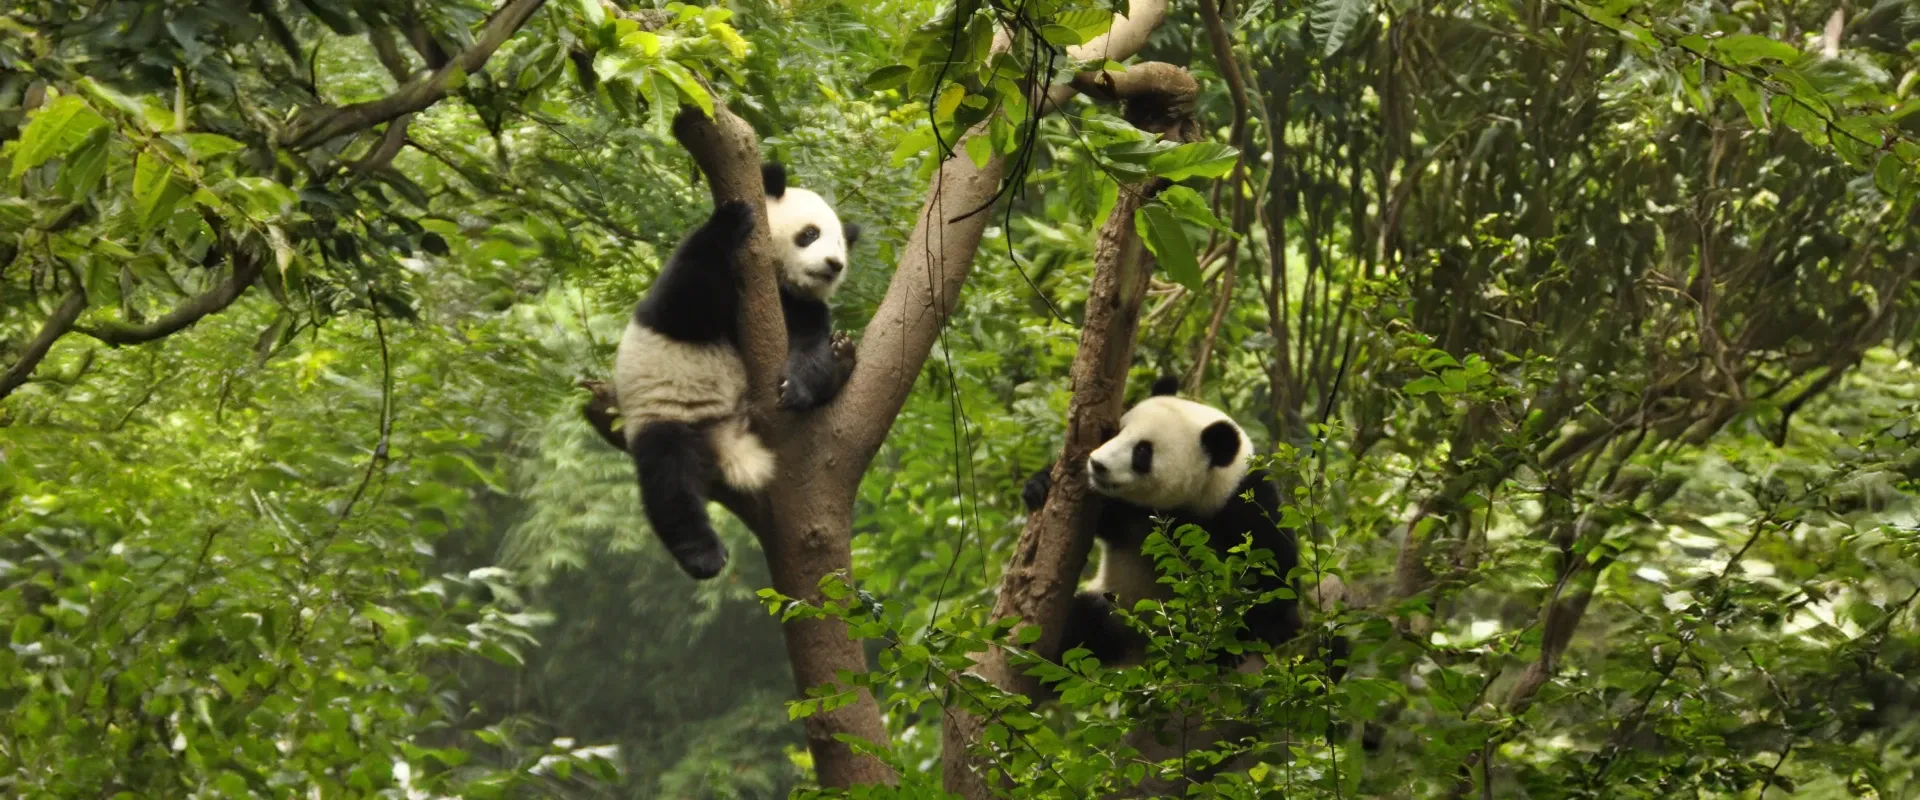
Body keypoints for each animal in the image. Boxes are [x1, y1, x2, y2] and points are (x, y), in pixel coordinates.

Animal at [611, 160, 859, 580]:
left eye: (841, 245)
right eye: (810, 234)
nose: (834, 265)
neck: (777, 281)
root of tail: (726, 434)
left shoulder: (802, 307)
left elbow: (808, 346)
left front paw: (798, 385)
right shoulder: (708, 285)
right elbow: (686, 298)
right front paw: (731, 219)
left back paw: (842, 360)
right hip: (663, 412)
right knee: (669, 478)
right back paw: (703, 555)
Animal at [1023, 377, 1300, 670]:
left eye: (1142, 452)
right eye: (1117, 432)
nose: (1097, 465)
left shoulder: (1242, 503)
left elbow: (1272, 567)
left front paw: (1258, 633)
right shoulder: (1133, 516)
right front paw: (1039, 485)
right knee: (1083, 623)